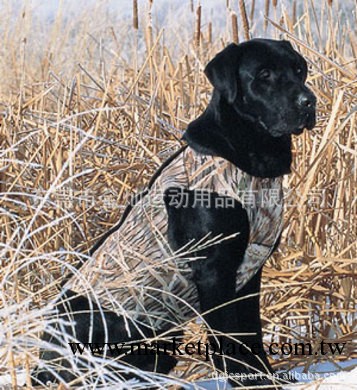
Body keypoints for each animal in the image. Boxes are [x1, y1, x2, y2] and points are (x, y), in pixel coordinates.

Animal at [32, 39, 314, 386]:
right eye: (264, 74)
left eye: (299, 69)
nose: (308, 101)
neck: (252, 167)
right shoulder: (214, 269)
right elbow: (229, 340)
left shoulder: (250, 268)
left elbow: (252, 336)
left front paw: (267, 380)